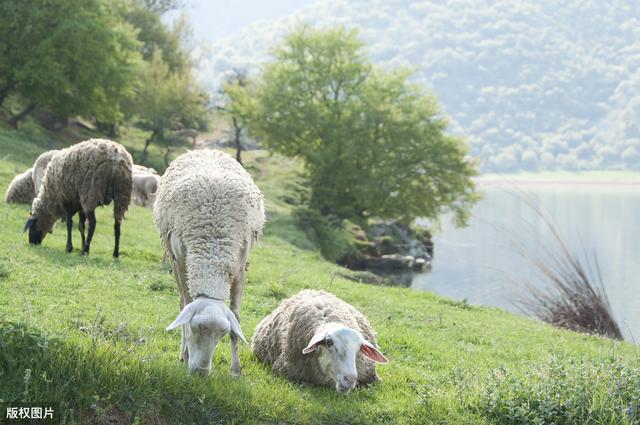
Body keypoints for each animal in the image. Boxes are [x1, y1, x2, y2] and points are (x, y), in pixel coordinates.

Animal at [152, 149, 264, 374]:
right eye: (195, 328)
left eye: (222, 334)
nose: (201, 373)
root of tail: (206, 150)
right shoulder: (183, 262)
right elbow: (186, 305)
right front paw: (187, 355)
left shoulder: (239, 267)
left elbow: (236, 316)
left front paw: (235, 369)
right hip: (174, 259)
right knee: (181, 302)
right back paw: (182, 354)